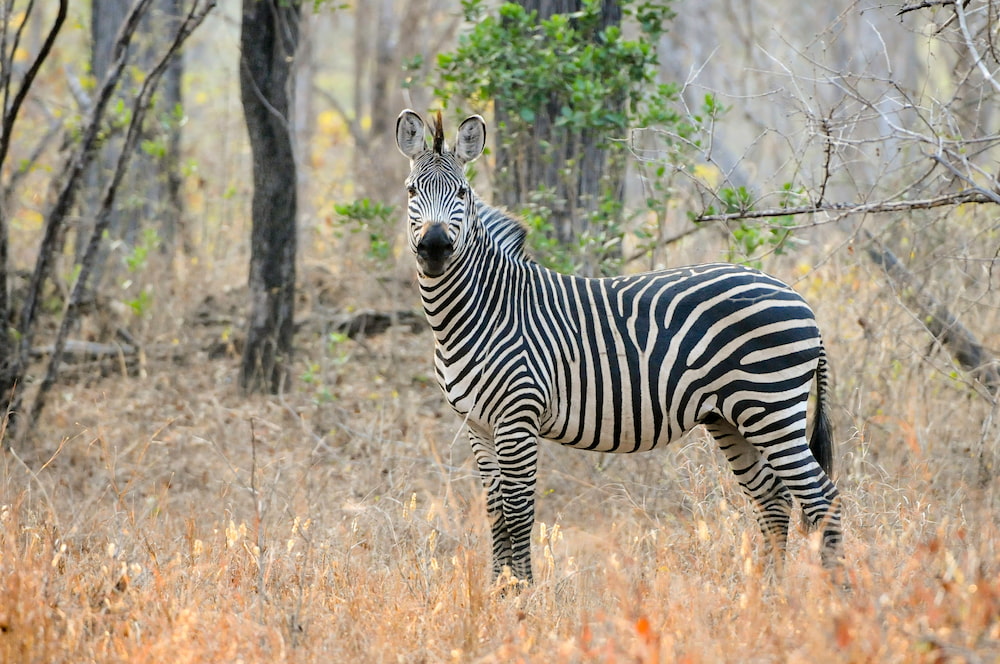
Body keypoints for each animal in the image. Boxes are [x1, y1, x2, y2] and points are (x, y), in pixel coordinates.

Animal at [395, 109, 844, 585]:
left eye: (462, 193)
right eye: (411, 191)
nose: (435, 247)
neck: (483, 309)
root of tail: (797, 296)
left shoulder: (519, 417)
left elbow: (519, 512)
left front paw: (524, 594)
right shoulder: (477, 425)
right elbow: (495, 510)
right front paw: (499, 590)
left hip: (771, 408)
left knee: (821, 497)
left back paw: (834, 596)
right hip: (732, 418)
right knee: (774, 499)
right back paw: (769, 594)